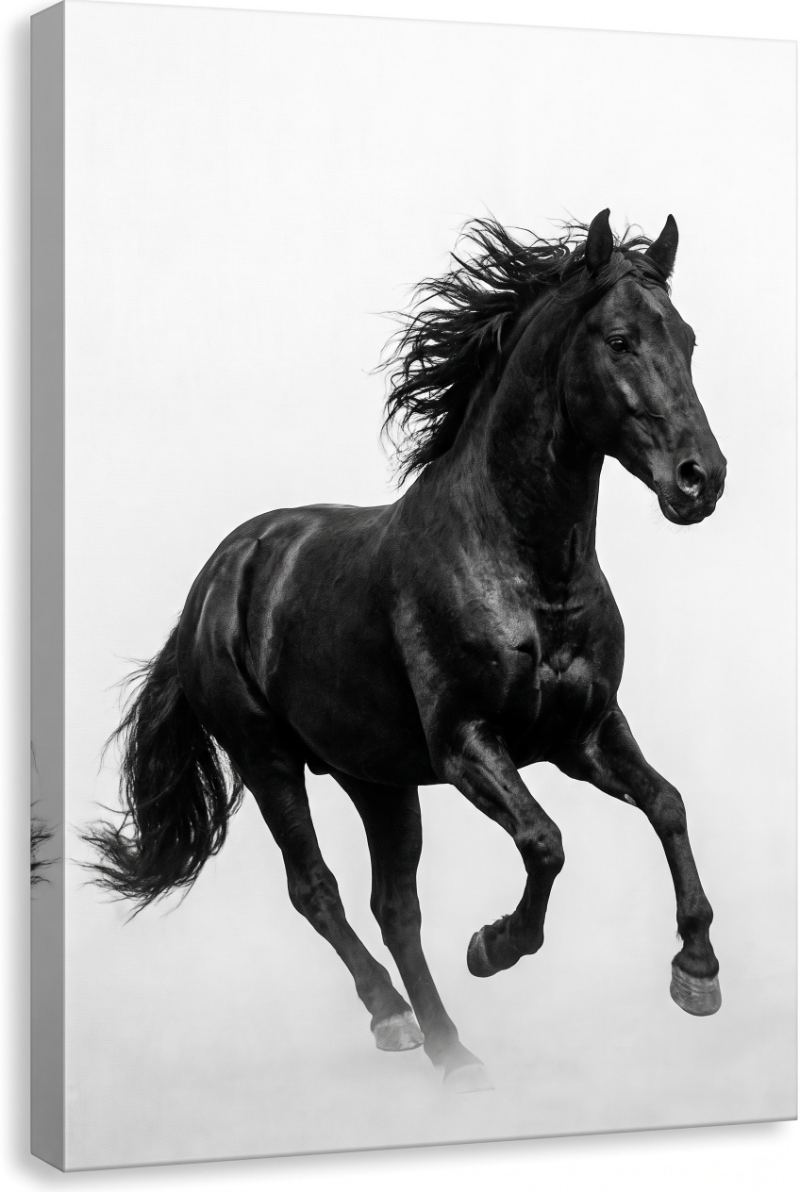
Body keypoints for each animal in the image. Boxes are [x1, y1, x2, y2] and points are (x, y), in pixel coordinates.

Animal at [85, 209, 726, 1092]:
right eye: (622, 339)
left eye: (689, 339)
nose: (702, 480)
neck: (525, 566)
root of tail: (217, 579)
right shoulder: (467, 746)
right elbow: (546, 844)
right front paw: (493, 946)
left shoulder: (585, 734)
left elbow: (668, 804)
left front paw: (696, 972)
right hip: (266, 755)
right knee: (317, 890)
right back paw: (400, 1021)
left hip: (376, 778)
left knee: (395, 909)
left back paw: (452, 1051)